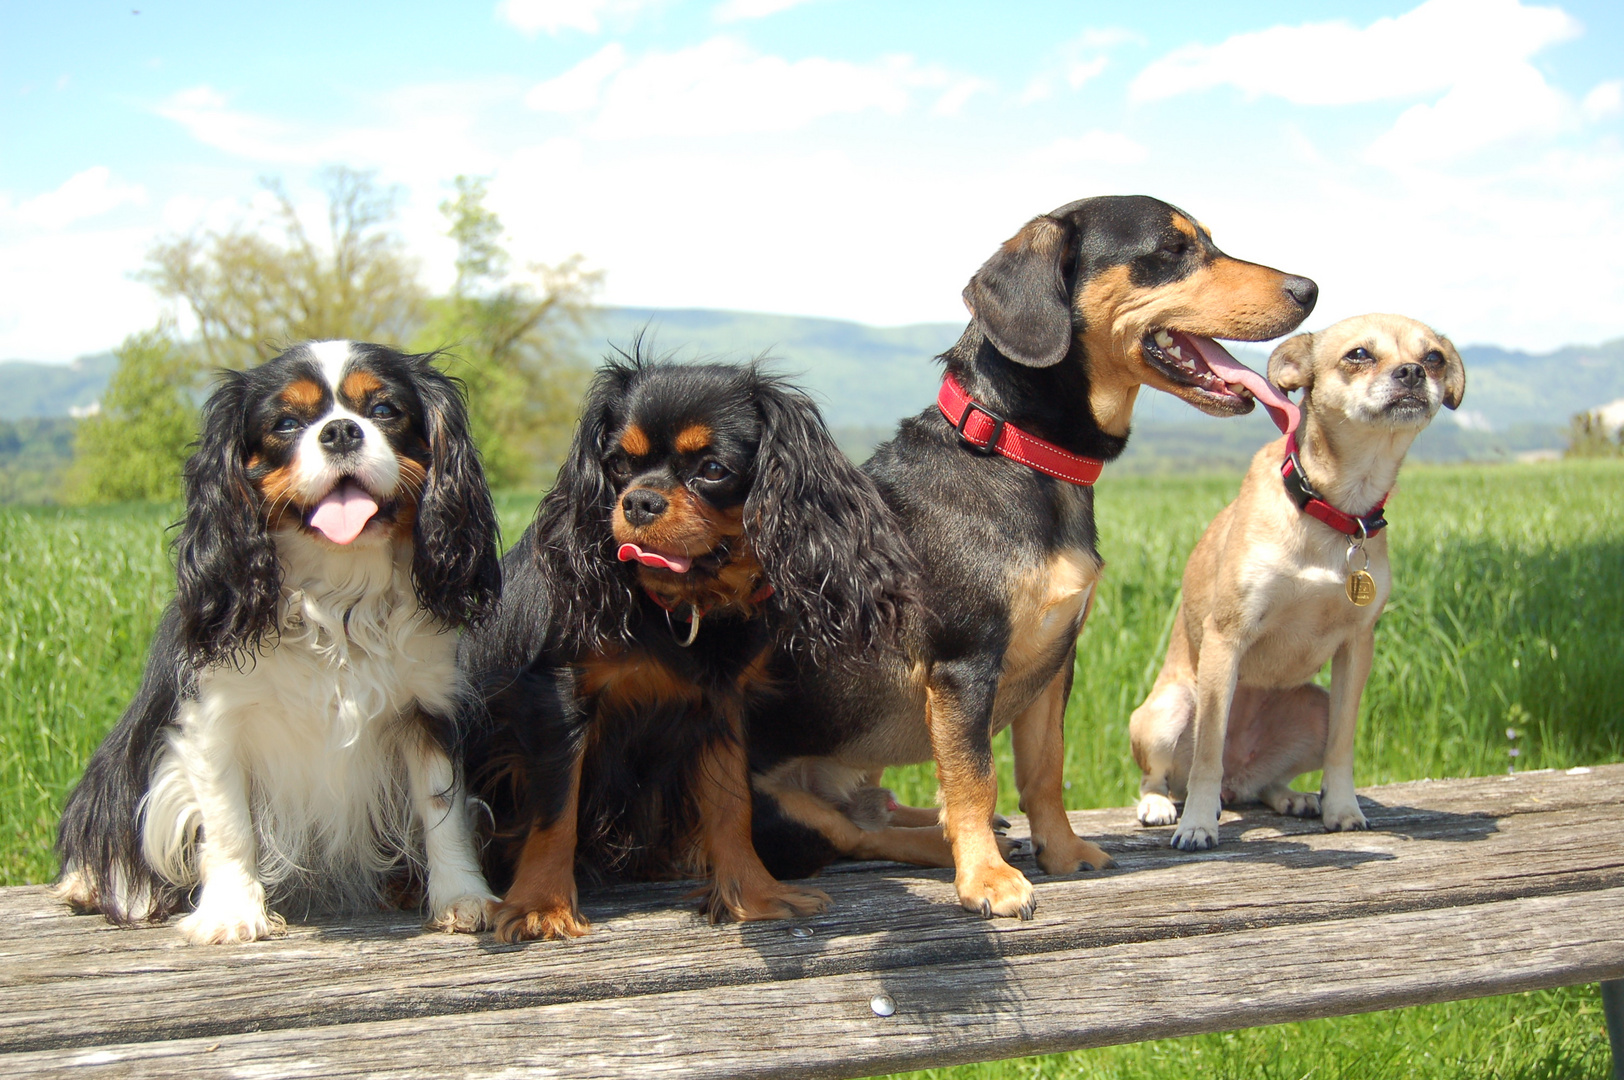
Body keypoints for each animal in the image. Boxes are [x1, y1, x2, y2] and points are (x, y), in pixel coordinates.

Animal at [747, 195, 1318, 915]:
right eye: (1172, 250)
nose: (1310, 289)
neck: (1017, 450)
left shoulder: (1054, 662)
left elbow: (1044, 771)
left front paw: (1063, 852)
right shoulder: (964, 668)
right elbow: (975, 778)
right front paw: (985, 880)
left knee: (877, 812)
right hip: (781, 806)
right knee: (855, 834)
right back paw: (951, 847)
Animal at [1130, 313, 1461, 851]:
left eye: (1433, 357)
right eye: (1358, 355)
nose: (1412, 372)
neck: (1335, 507)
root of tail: (1238, 779)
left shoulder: (1356, 645)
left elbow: (1342, 748)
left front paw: (1342, 808)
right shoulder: (1226, 638)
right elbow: (1207, 753)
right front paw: (1197, 823)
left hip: (1313, 709)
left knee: (1264, 783)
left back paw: (1291, 797)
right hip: (1172, 708)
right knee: (1163, 774)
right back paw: (1162, 804)